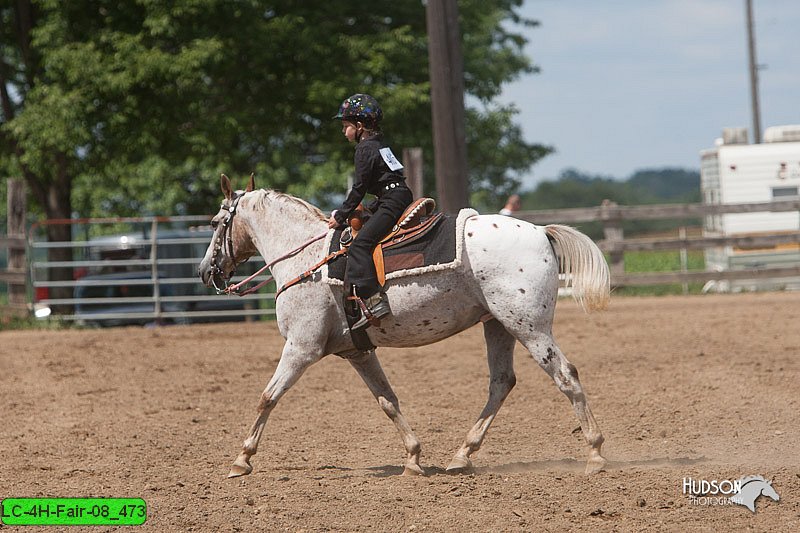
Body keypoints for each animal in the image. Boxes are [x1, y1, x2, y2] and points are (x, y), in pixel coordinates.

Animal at [197, 175, 608, 478]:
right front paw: (413, 458)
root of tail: (540, 232)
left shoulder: (301, 348)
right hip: (499, 326)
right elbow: (387, 401)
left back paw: (595, 453)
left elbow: (268, 396)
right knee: (501, 383)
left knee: (565, 375)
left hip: (530, 328)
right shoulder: (357, 351)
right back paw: (462, 455)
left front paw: (241, 459)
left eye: (216, 223)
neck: (307, 259)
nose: (205, 272)